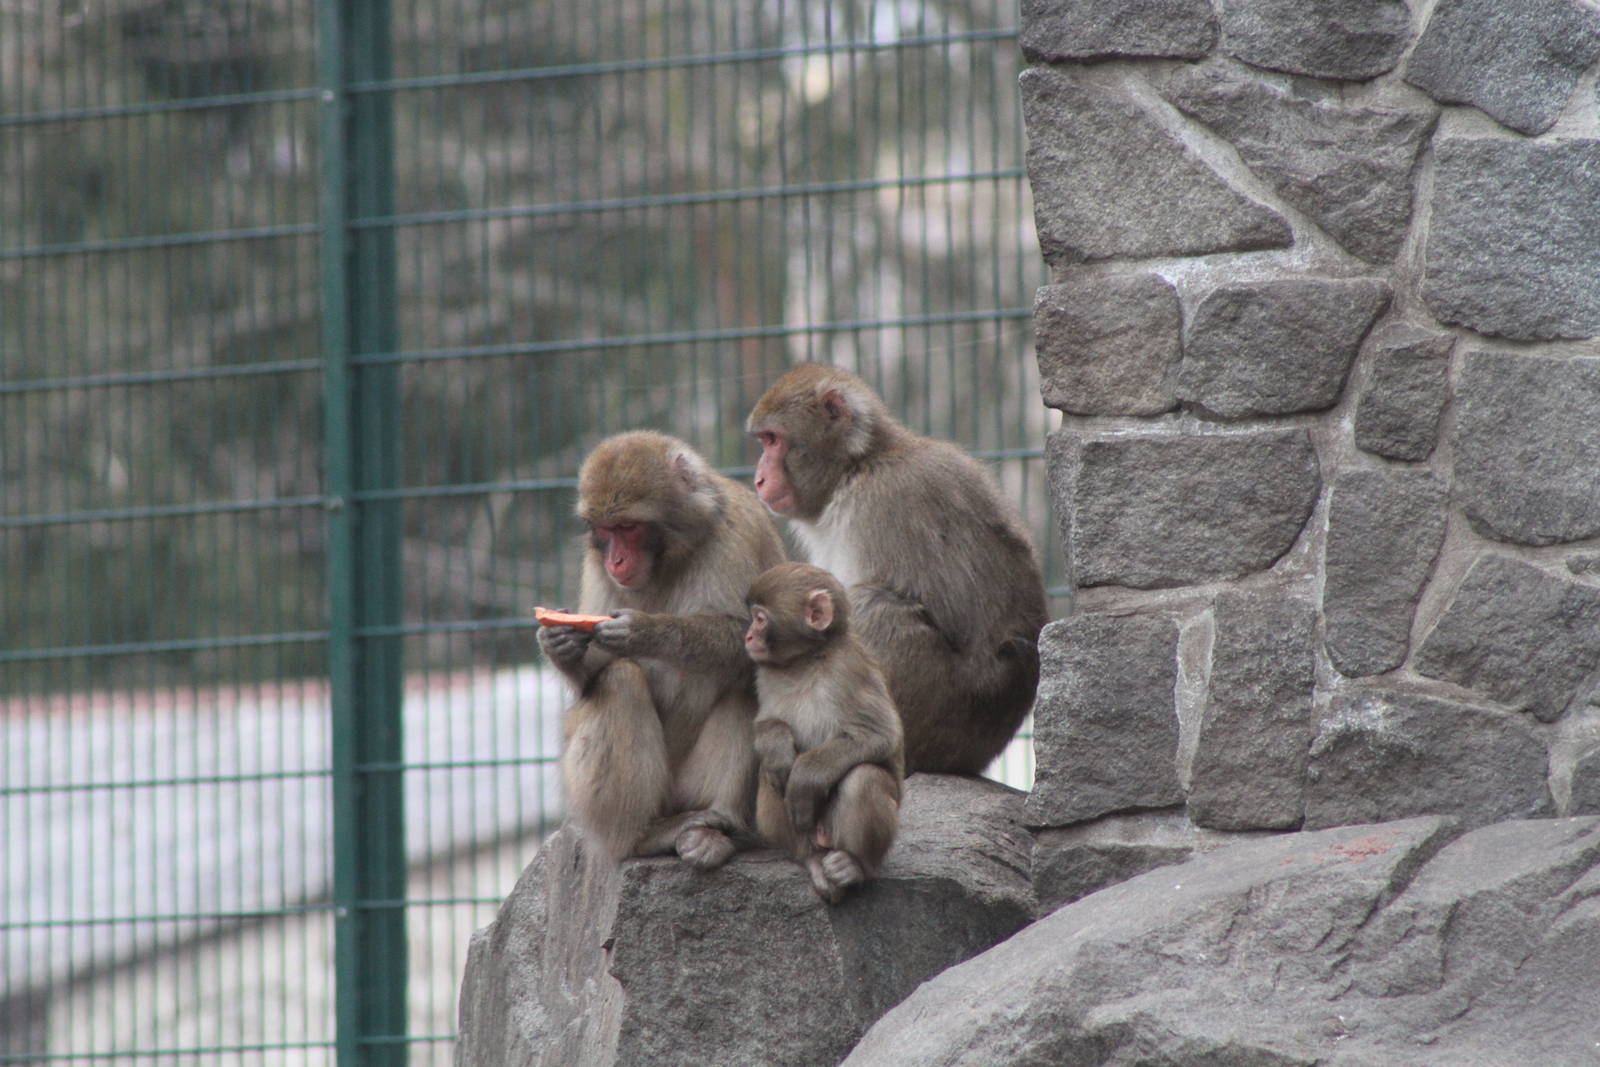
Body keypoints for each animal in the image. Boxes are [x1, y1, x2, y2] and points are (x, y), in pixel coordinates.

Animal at [538, 431, 787, 868]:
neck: (670, 558)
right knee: (620, 679)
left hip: (690, 788)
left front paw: (645, 630)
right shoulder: (593, 564)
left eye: (628, 526)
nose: (617, 561)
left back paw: (715, 831)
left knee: (747, 683)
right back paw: (639, 838)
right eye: (604, 530)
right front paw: (561, 645)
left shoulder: (737, 533)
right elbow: (594, 674)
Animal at [744, 562, 904, 903]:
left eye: (760, 618)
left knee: (864, 778)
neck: (805, 660)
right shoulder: (764, 673)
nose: (748, 636)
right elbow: (766, 724)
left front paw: (806, 777)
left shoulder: (850, 668)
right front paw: (776, 744)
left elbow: (878, 735)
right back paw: (811, 858)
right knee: (771, 773)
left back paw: (855, 865)